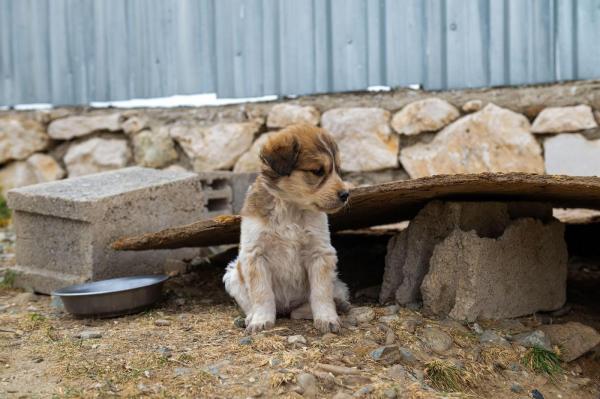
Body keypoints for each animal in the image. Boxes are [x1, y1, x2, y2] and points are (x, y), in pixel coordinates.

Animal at [225, 122, 352, 334]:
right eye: (318, 171)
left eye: (339, 170)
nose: (345, 195)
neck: (291, 207)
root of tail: (286, 308)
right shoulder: (255, 254)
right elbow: (262, 293)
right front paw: (260, 320)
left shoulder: (320, 253)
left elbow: (321, 292)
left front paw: (327, 318)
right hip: (233, 274)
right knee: (250, 303)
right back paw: (251, 316)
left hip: (336, 281)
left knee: (310, 305)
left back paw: (337, 305)